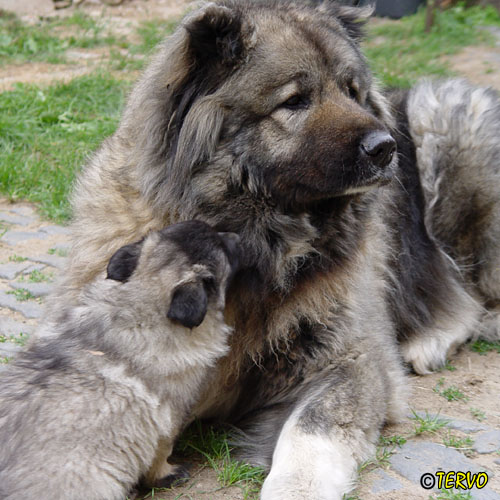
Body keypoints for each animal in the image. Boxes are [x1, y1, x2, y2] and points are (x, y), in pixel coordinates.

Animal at [0, 220, 241, 500]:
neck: (137, 303)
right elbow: (162, 452)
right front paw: (168, 473)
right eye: (224, 248)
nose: (237, 235)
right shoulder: (170, 418)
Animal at [45, 1, 500, 498]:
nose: (387, 146)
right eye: (295, 101)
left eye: (353, 91)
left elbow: (309, 433)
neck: (257, 242)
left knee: (475, 299)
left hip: (441, 124)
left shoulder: (351, 360)